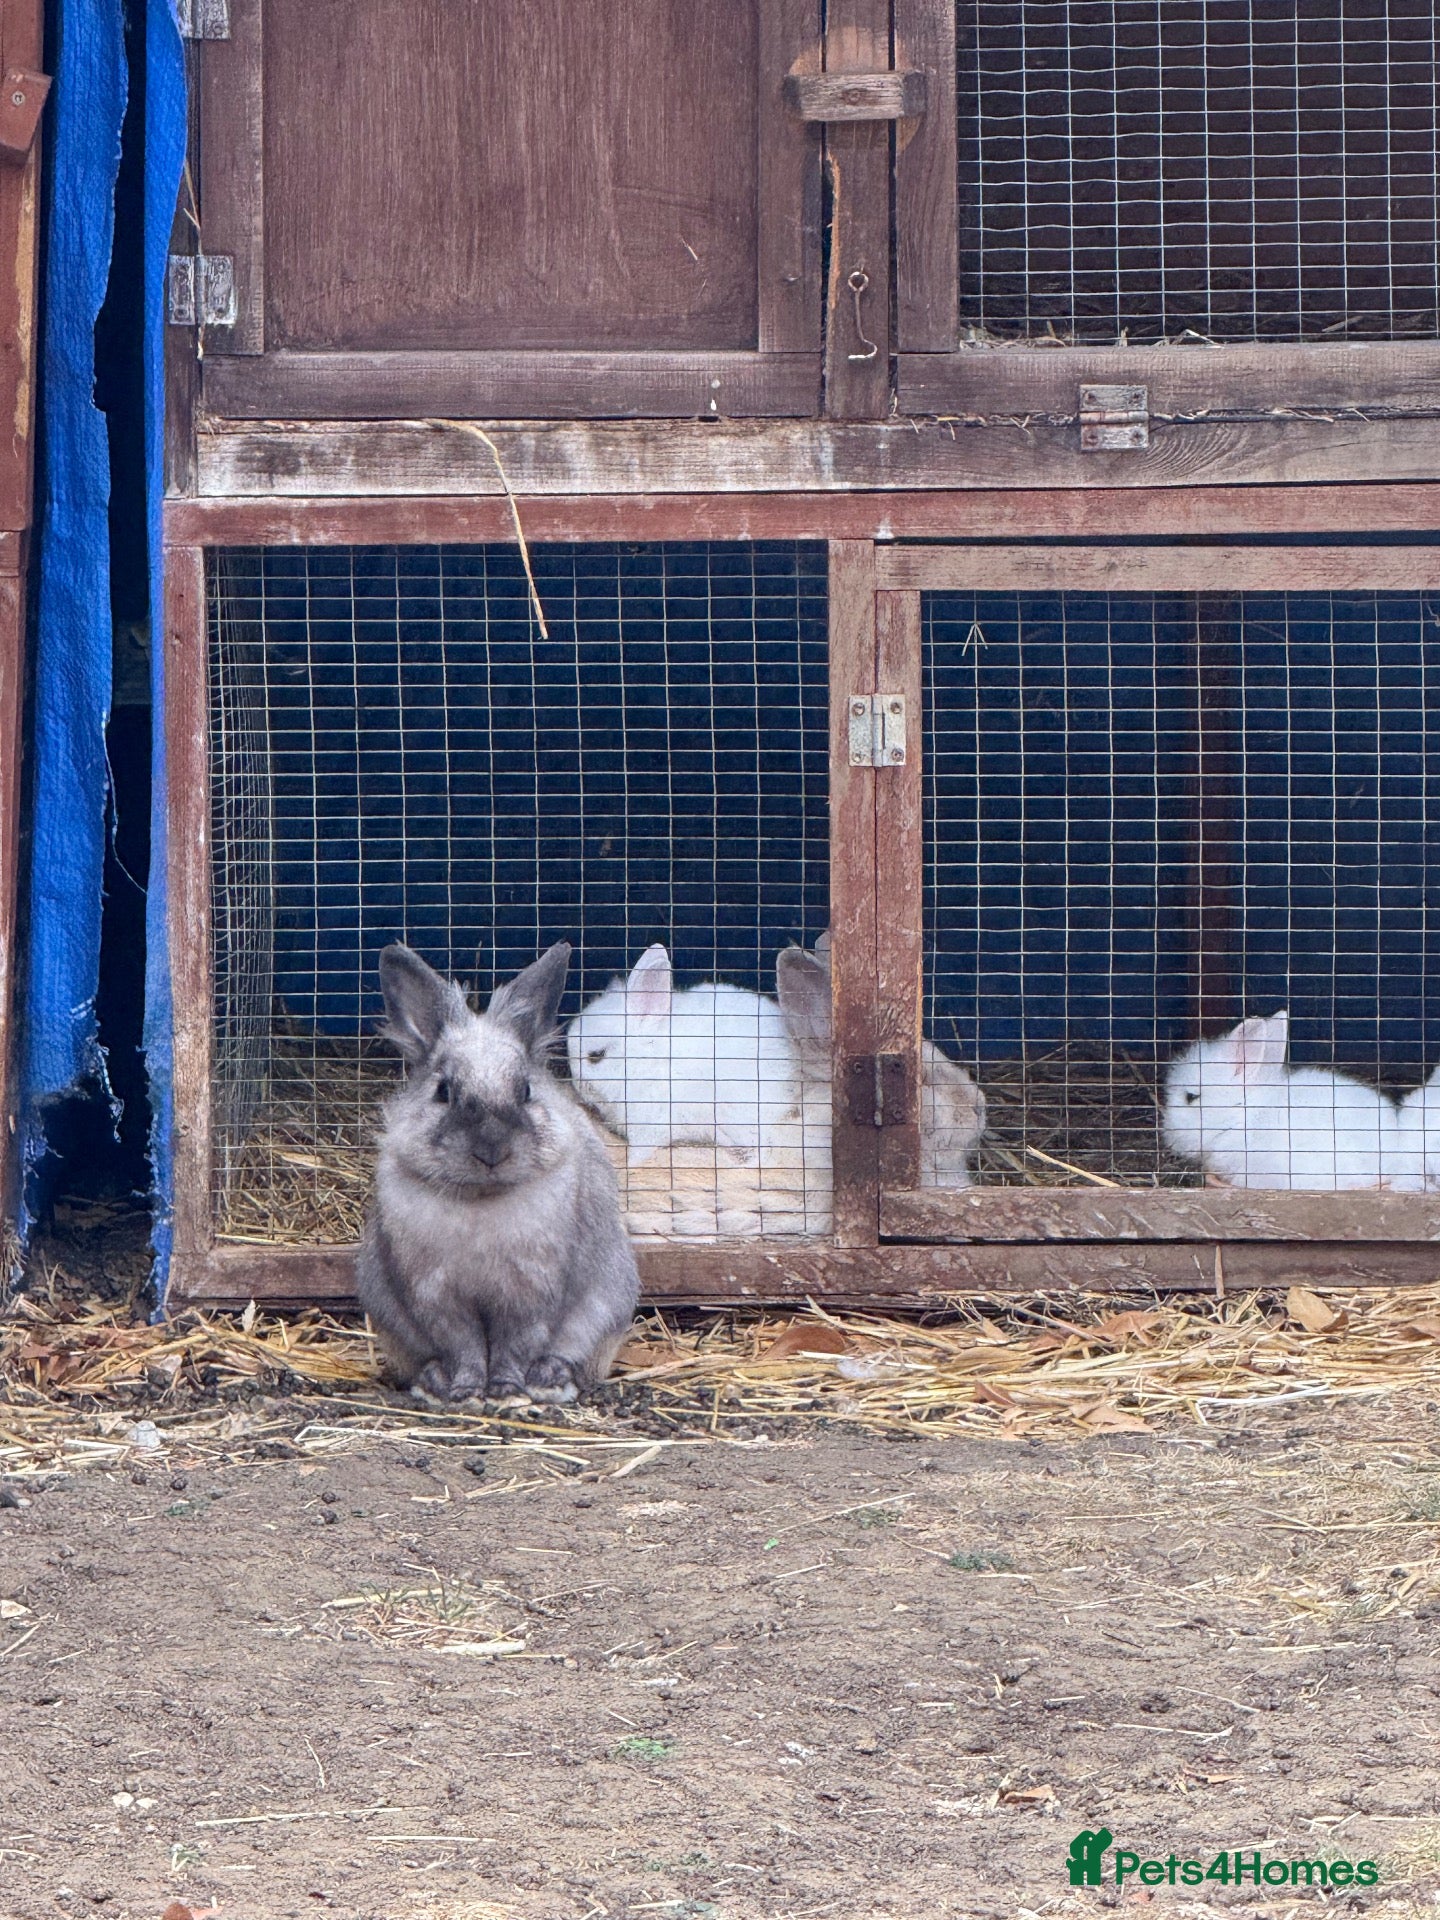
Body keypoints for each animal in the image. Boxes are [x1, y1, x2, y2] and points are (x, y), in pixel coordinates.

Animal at [357, 942, 639, 1406]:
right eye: (443, 1092)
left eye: (525, 1090)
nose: (491, 1151)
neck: (482, 1198)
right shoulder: (439, 1299)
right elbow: (465, 1348)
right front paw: (466, 1392)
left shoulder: (529, 1296)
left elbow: (514, 1346)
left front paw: (506, 1390)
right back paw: (434, 1382)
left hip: (606, 1305)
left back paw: (548, 1378)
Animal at [565, 943, 801, 1162]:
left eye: (596, 1055)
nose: (577, 1084)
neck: (645, 1060)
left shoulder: (651, 1122)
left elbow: (641, 1149)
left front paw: (631, 1163)